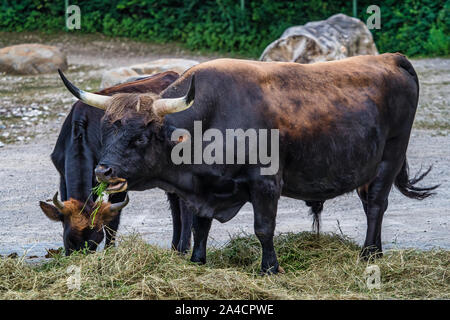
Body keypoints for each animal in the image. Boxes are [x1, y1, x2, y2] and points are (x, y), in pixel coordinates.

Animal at [38, 72, 193, 255]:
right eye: (69, 240)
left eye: (95, 242)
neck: (81, 134)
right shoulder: (63, 175)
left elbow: (112, 222)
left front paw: (110, 251)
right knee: (175, 207)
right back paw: (175, 248)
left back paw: (183, 249)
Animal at [58, 53, 438, 274]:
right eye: (108, 129)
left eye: (140, 136)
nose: (103, 170)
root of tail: (391, 58)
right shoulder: (203, 191)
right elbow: (200, 225)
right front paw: (198, 260)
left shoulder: (266, 183)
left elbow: (263, 228)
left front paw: (269, 268)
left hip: (390, 156)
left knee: (376, 204)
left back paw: (369, 255)